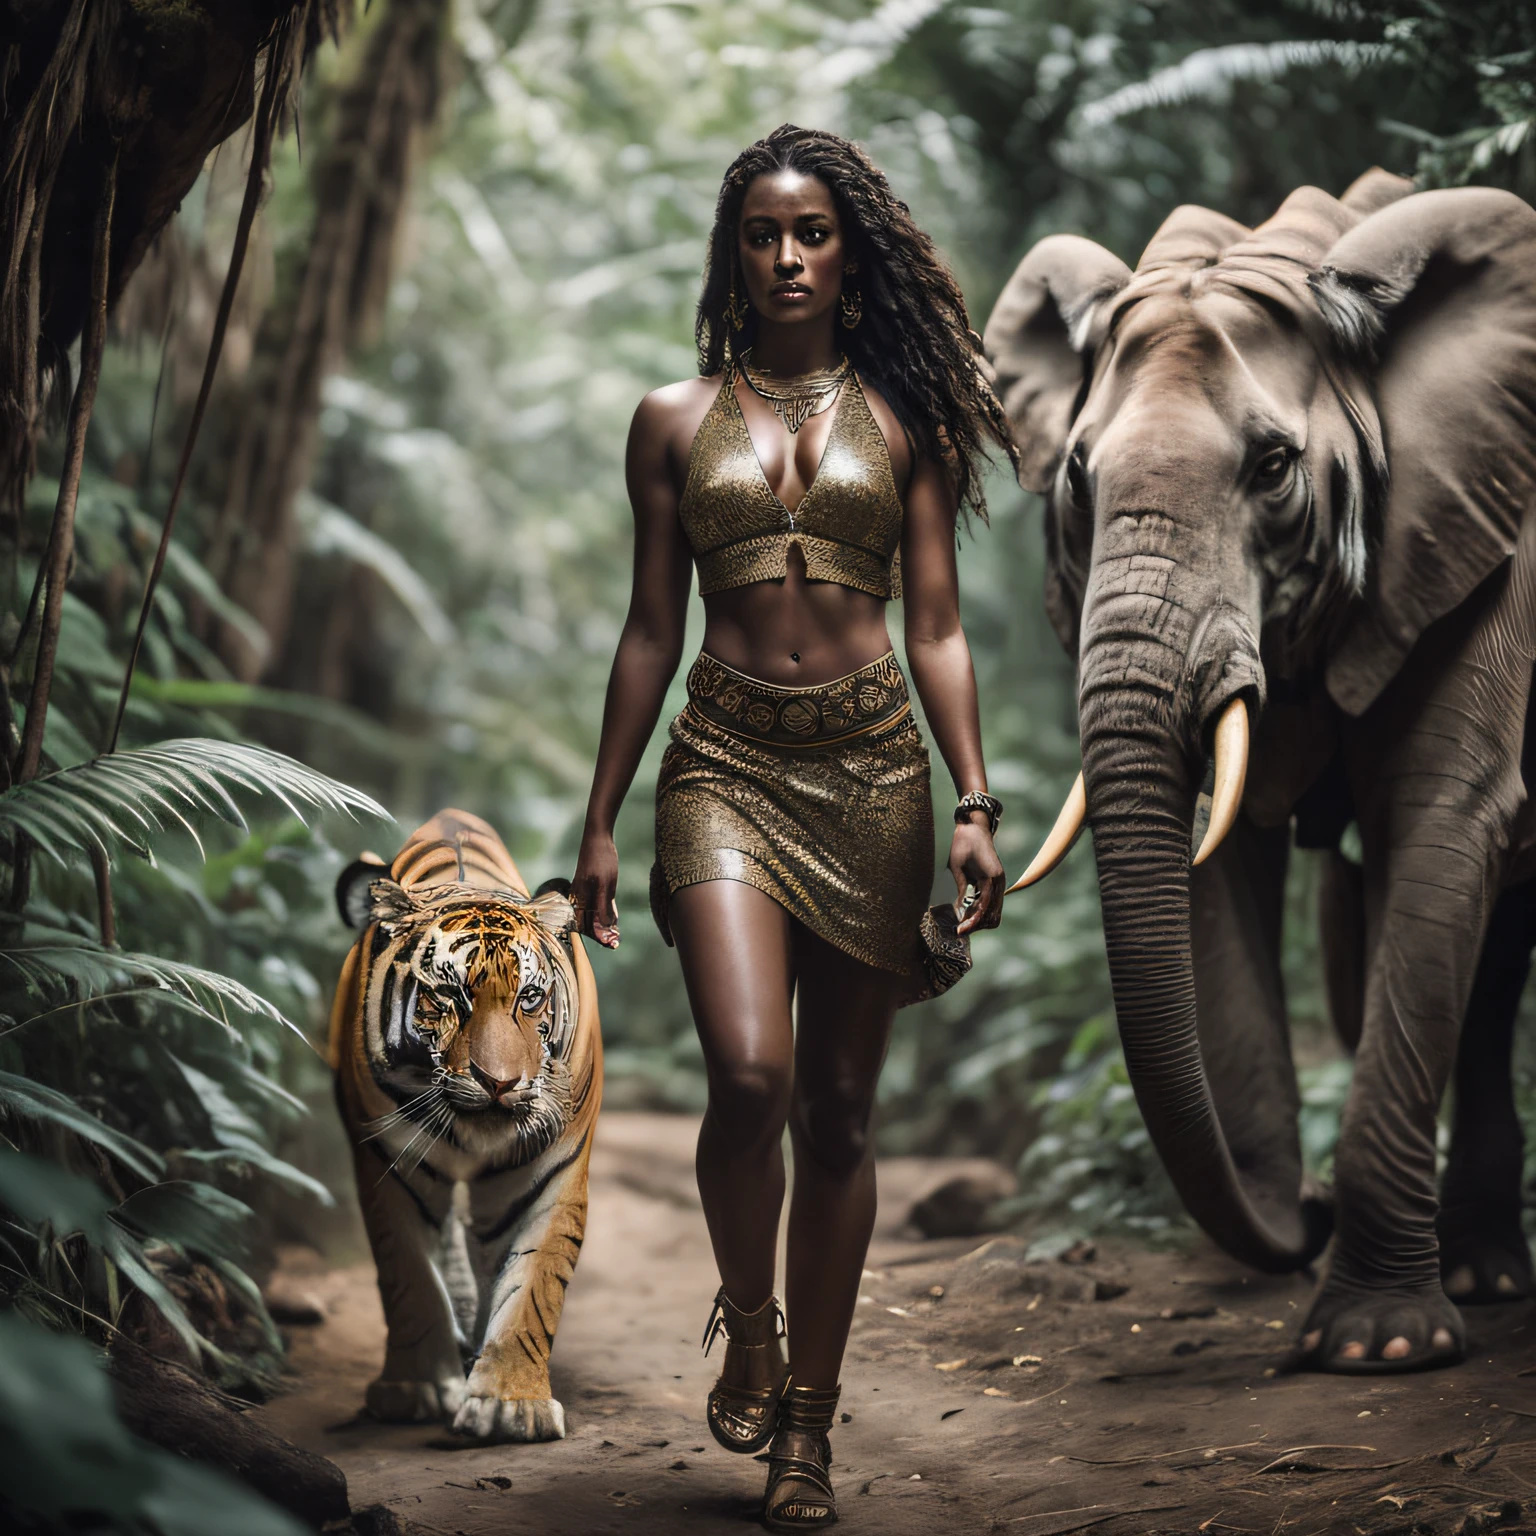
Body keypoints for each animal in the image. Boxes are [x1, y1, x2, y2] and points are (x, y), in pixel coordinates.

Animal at [327, 811, 602, 1443]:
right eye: (449, 995)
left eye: (530, 997)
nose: (499, 1083)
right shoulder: (389, 1167)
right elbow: (409, 1276)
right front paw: (417, 1390)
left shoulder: (551, 1175)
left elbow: (532, 1289)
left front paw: (511, 1406)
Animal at [983, 174, 1536, 1376]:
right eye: (1078, 476)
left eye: (1274, 467)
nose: (1308, 1211)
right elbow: (1220, 855)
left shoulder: (1491, 543)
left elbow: (1444, 820)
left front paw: (1381, 1348)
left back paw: (1477, 1279)